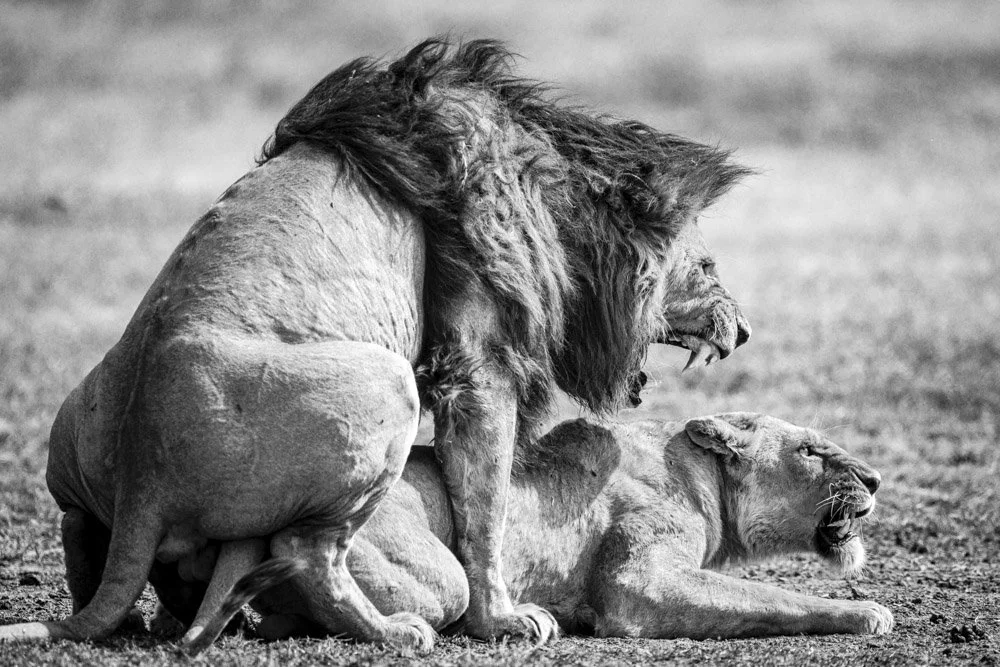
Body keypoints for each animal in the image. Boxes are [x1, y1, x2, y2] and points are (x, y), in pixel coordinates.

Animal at [0, 39, 751, 648]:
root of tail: (143, 471)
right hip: (387, 388)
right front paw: (503, 619)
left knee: (80, 529)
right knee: (308, 547)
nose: (741, 331)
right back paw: (393, 631)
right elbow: (488, 504)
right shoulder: (476, 357)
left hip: (80, 428)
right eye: (708, 265)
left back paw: (155, 619)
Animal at [176, 412, 892, 650]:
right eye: (809, 451)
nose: (877, 478)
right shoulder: (635, 584)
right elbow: (778, 597)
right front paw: (868, 615)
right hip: (440, 580)